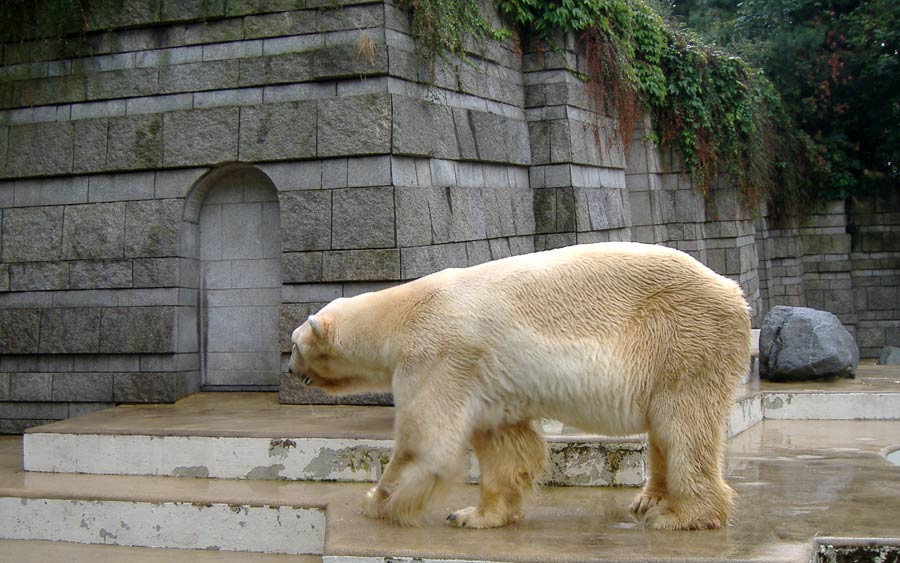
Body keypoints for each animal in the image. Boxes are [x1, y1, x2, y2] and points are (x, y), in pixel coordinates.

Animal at [290, 241, 752, 528]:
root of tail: (734, 290)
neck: (400, 314)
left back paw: (681, 516)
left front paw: (378, 501)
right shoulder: (487, 382)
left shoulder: (436, 355)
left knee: (683, 425)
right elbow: (504, 446)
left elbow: (424, 442)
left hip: (683, 338)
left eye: (294, 345)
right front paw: (473, 515)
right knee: (663, 429)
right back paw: (650, 499)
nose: (291, 370)